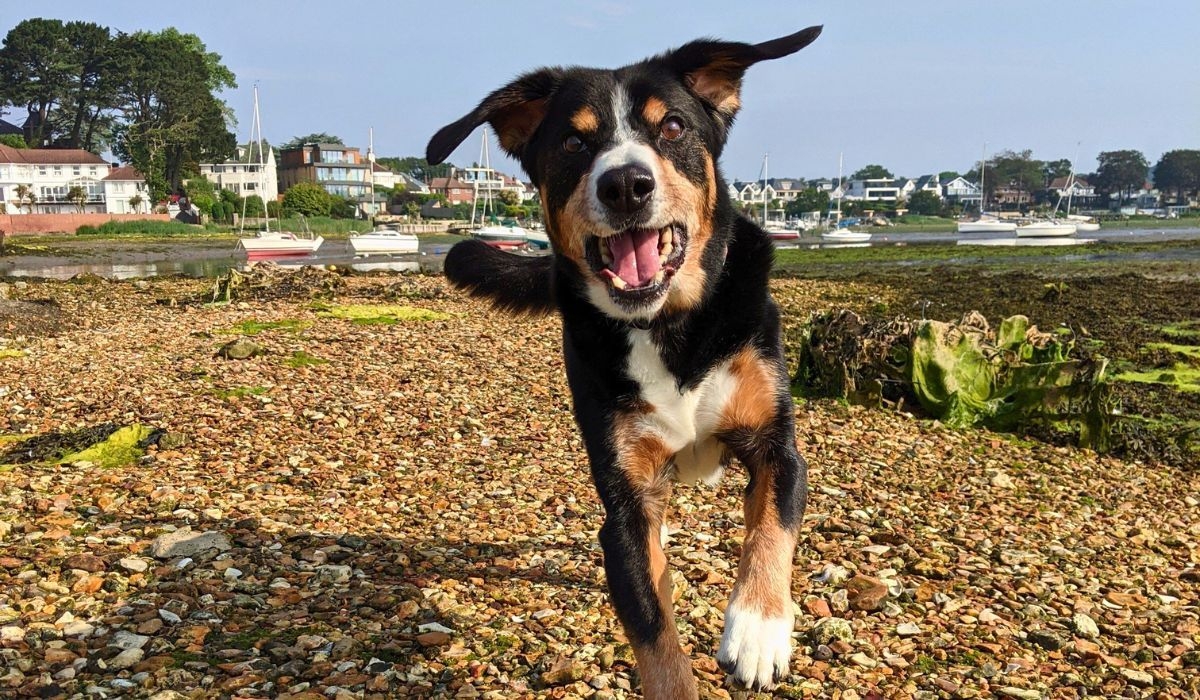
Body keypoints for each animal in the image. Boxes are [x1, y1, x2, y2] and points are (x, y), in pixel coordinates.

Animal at [429, 24, 825, 696]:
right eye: (572, 141)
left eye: (672, 127)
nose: (624, 185)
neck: (665, 326)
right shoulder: (625, 501)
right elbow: (652, 628)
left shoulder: (777, 446)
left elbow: (773, 526)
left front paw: (757, 629)